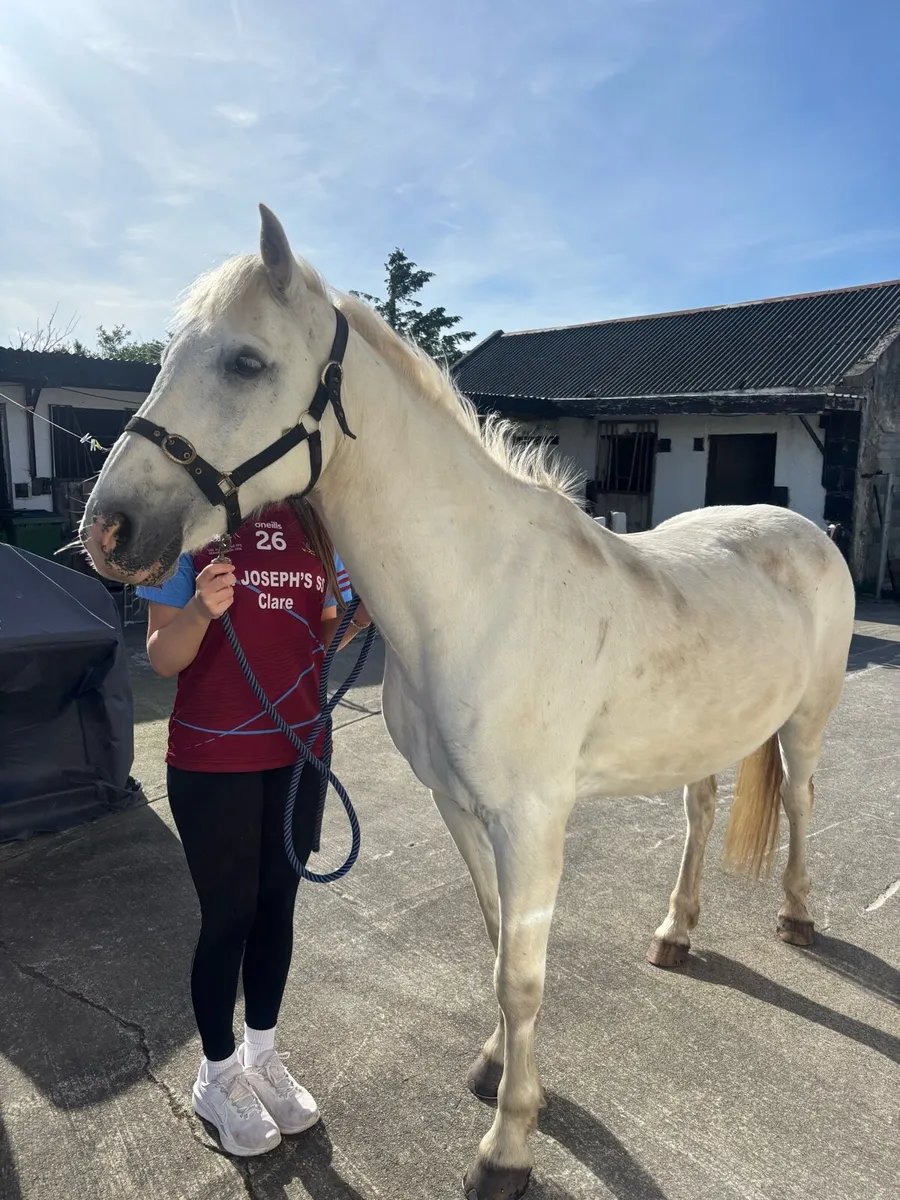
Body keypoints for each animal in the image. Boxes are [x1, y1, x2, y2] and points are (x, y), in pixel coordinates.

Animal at [82, 205, 856, 1200]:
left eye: (245, 362)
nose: (109, 530)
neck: (477, 591)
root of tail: (809, 526)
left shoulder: (531, 822)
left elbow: (522, 975)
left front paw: (508, 1146)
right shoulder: (459, 806)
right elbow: (495, 944)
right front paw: (497, 1068)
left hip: (807, 720)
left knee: (797, 802)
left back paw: (797, 917)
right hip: (706, 734)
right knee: (700, 810)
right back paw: (675, 933)